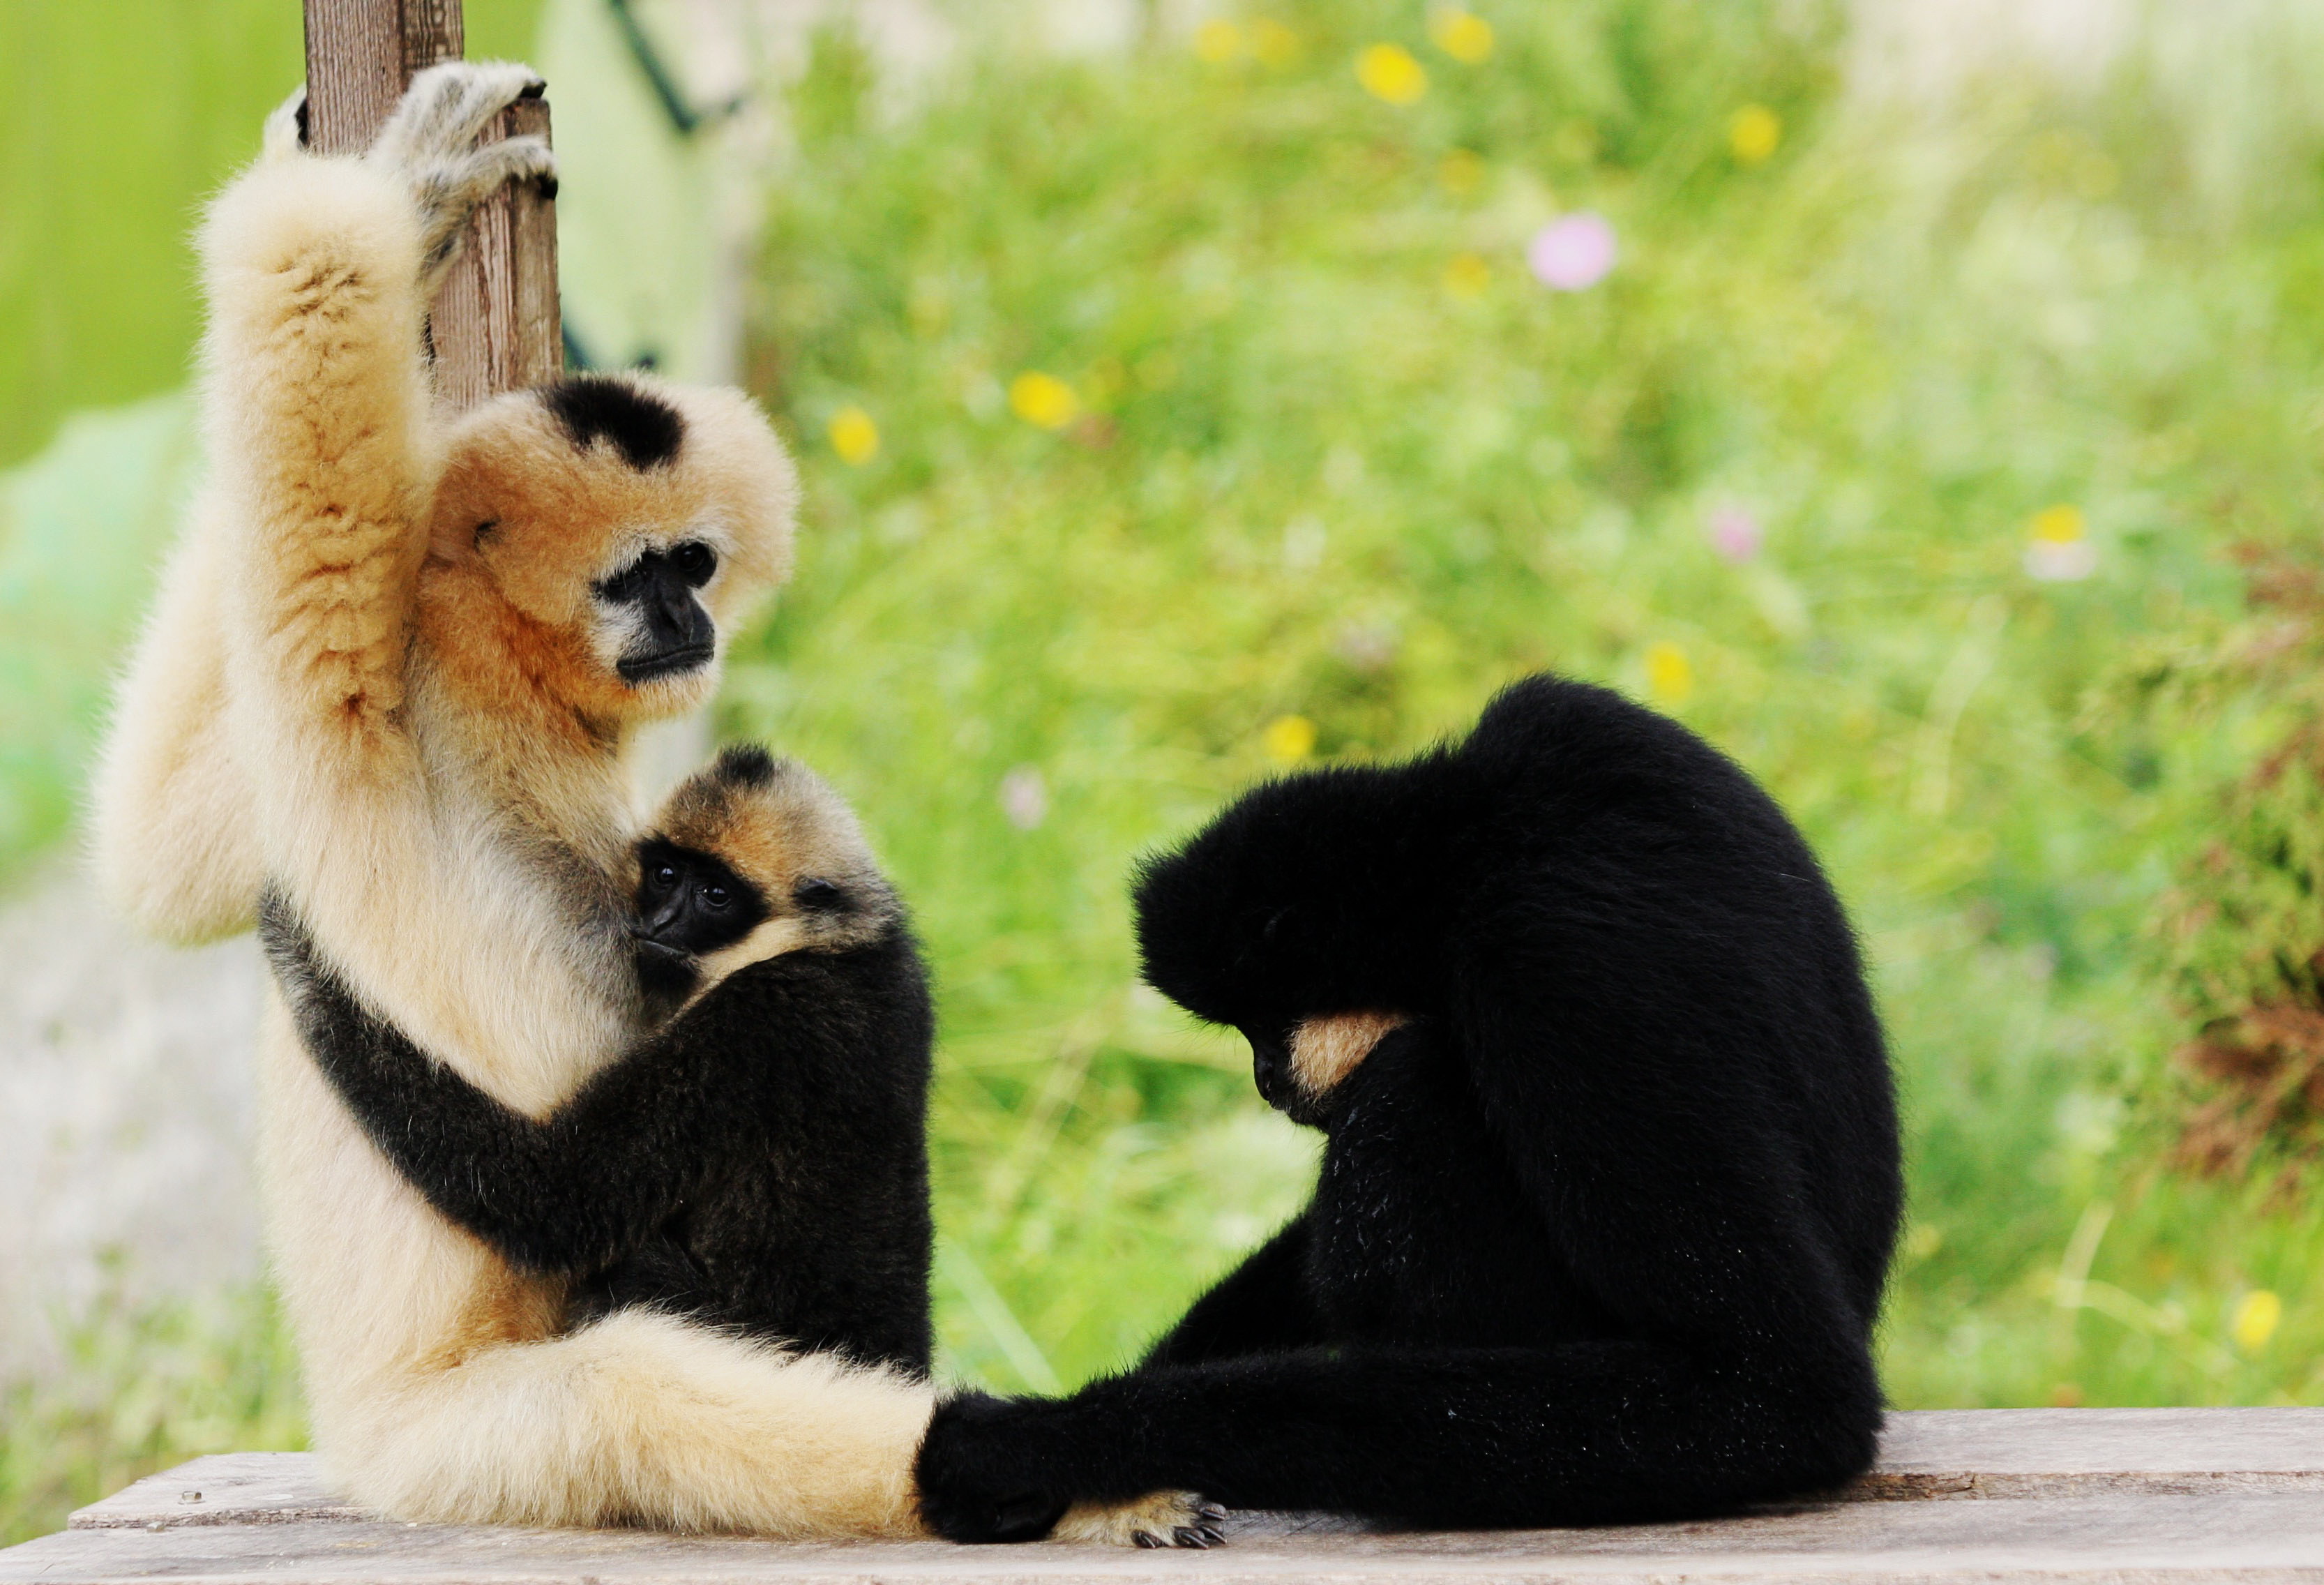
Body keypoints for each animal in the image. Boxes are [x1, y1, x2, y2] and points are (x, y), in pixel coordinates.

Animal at [263, 744, 937, 1374]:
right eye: (665, 875)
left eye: (715, 895)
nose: (660, 922)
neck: (820, 947)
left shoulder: (755, 1019)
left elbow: (559, 1201)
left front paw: (308, 969)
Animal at [914, 673, 1902, 1539]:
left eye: (1258, 1023)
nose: (1264, 1076)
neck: (1490, 832)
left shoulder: (1557, 969)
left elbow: (1770, 1392)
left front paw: (1037, 1444)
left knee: (1412, 1083)